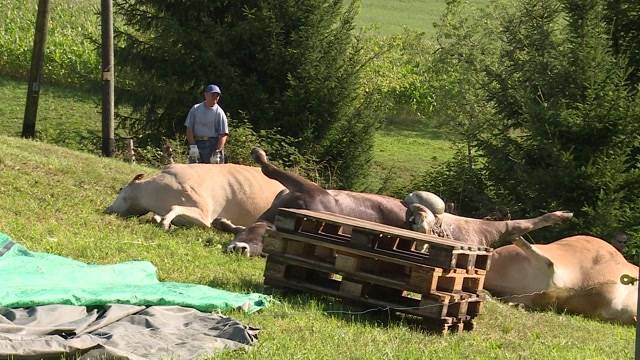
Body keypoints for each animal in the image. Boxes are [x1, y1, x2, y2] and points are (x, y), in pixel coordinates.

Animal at [216, 148, 576, 256]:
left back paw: (561, 214)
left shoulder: (313, 190)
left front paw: (260, 155)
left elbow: (270, 168)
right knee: (511, 229)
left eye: (267, 239)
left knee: (515, 224)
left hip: (478, 228)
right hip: (481, 232)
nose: (237, 249)